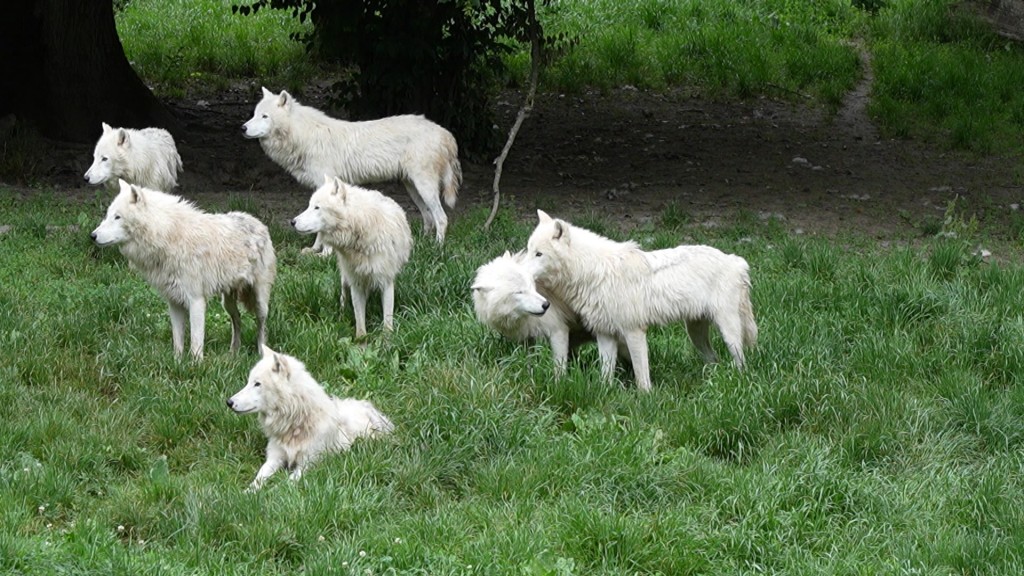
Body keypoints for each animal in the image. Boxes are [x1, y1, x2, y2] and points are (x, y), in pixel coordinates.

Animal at [90, 180, 276, 359]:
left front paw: (196, 366)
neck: (168, 235)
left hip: (260, 302)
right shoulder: (174, 302)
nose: (92, 236)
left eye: (117, 217)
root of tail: (258, 222)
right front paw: (177, 363)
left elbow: (195, 343)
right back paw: (233, 353)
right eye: (108, 215)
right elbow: (178, 341)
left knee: (261, 326)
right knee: (237, 320)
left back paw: (261, 354)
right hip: (227, 302)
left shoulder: (196, 301)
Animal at [227, 346, 394, 491]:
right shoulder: (274, 458)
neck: (296, 425)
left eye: (257, 384)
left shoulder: (306, 464)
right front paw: (248, 493)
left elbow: (285, 484)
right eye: (248, 382)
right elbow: (259, 478)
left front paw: (273, 492)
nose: (229, 402)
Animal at [243, 87, 461, 250]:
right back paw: (419, 244)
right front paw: (314, 250)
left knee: (441, 218)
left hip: (424, 187)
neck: (303, 136)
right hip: (413, 188)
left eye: (265, 116)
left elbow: (322, 225)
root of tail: (446, 133)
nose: (242, 128)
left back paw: (437, 248)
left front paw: (322, 252)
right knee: (428, 217)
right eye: (254, 115)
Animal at [291, 176, 413, 338]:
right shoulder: (356, 282)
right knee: (343, 293)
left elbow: (387, 318)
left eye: (317, 207)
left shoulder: (386, 281)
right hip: (345, 276)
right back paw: (342, 313)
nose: (292, 222)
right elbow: (359, 319)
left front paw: (387, 338)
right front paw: (361, 339)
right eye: (309, 205)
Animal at [525, 210, 758, 391]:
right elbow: (605, 373)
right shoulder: (605, 333)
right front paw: (605, 392)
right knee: (713, 359)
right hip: (696, 333)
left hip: (728, 332)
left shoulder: (634, 331)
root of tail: (736, 260)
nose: (522, 271)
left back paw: (737, 381)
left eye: (539, 254)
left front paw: (646, 399)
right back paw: (711, 381)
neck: (595, 272)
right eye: (529, 250)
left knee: (741, 362)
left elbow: (641, 376)